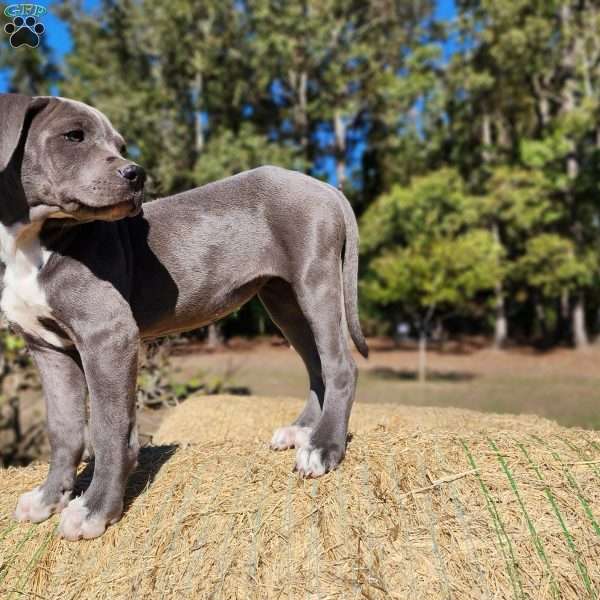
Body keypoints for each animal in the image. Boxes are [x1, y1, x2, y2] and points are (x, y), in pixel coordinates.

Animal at [0, 94, 368, 540]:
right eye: (73, 136)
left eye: (120, 144)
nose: (136, 174)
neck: (33, 240)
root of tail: (325, 187)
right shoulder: (46, 346)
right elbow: (65, 428)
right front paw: (48, 499)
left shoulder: (108, 335)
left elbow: (108, 429)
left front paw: (94, 510)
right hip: (284, 299)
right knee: (317, 364)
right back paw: (302, 433)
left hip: (316, 280)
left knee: (340, 365)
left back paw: (323, 449)